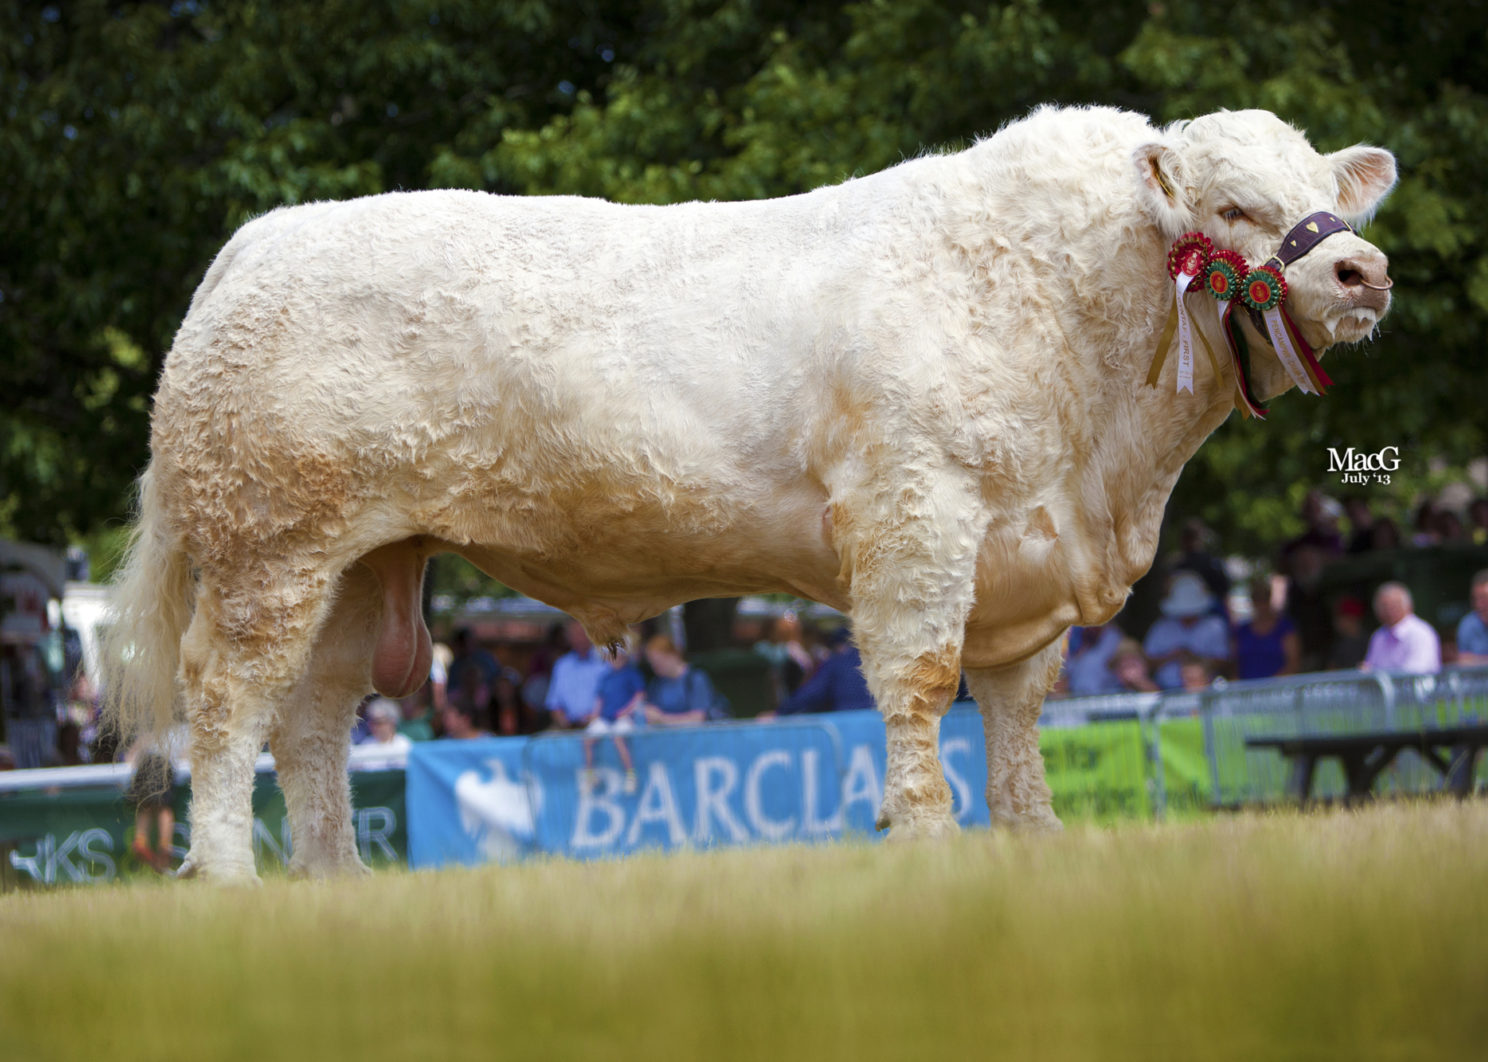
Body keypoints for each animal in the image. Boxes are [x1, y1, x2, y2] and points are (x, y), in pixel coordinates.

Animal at [104, 105, 1392, 874]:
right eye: (1232, 206)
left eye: (1325, 190)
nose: (1361, 268)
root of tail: (264, 240)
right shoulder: (918, 516)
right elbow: (920, 684)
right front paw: (926, 838)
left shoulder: (1029, 556)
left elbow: (1019, 712)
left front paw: (1032, 841)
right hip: (273, 547)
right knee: (229, 704)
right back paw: (231, 875)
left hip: (363, 561)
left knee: (315, 719)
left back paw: (335, 883)